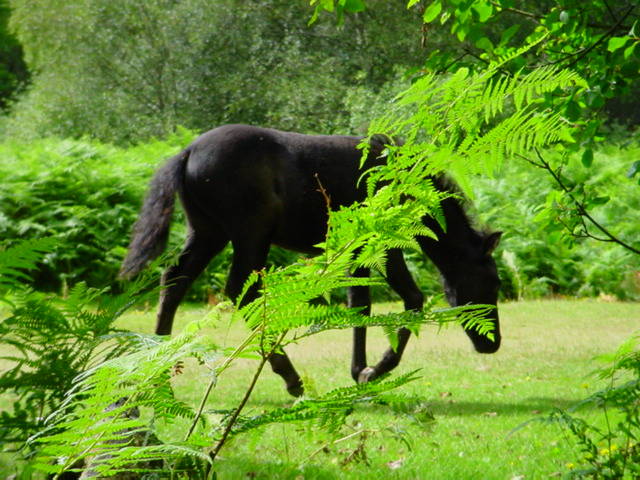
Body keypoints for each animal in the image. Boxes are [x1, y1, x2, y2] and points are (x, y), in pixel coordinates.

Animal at [119, 124, 500, 398]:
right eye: (492, 282)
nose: (492, 344)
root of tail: (186, 152)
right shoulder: (385, 244)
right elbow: (413, 299)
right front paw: (377, 369)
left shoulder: (357, 251)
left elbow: (360, 305)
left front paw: (359, 371)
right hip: (249, 235)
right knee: (240, 290)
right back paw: (290, 377)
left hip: (208, 233)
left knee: (174, 281)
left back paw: (157, 370)